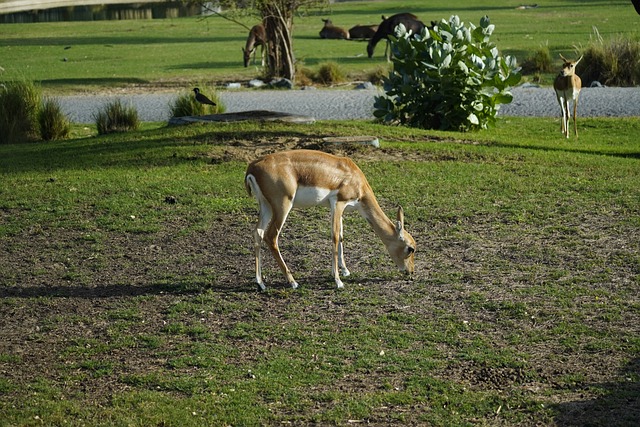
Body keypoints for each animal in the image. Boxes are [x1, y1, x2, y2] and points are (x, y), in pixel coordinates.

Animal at [244, 150, 416, 290]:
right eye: (410, 248)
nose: (410, 271)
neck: (355, 178)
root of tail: (252, 167)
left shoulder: (341, 209)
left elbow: (341, 236)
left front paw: (345, 271)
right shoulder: (338, 203)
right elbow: (334, 237)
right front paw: (338, 281)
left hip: (265, 206)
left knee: (257, 233)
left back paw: (260, 283)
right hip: (282, 206)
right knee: (271, 236)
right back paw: (293, 282)